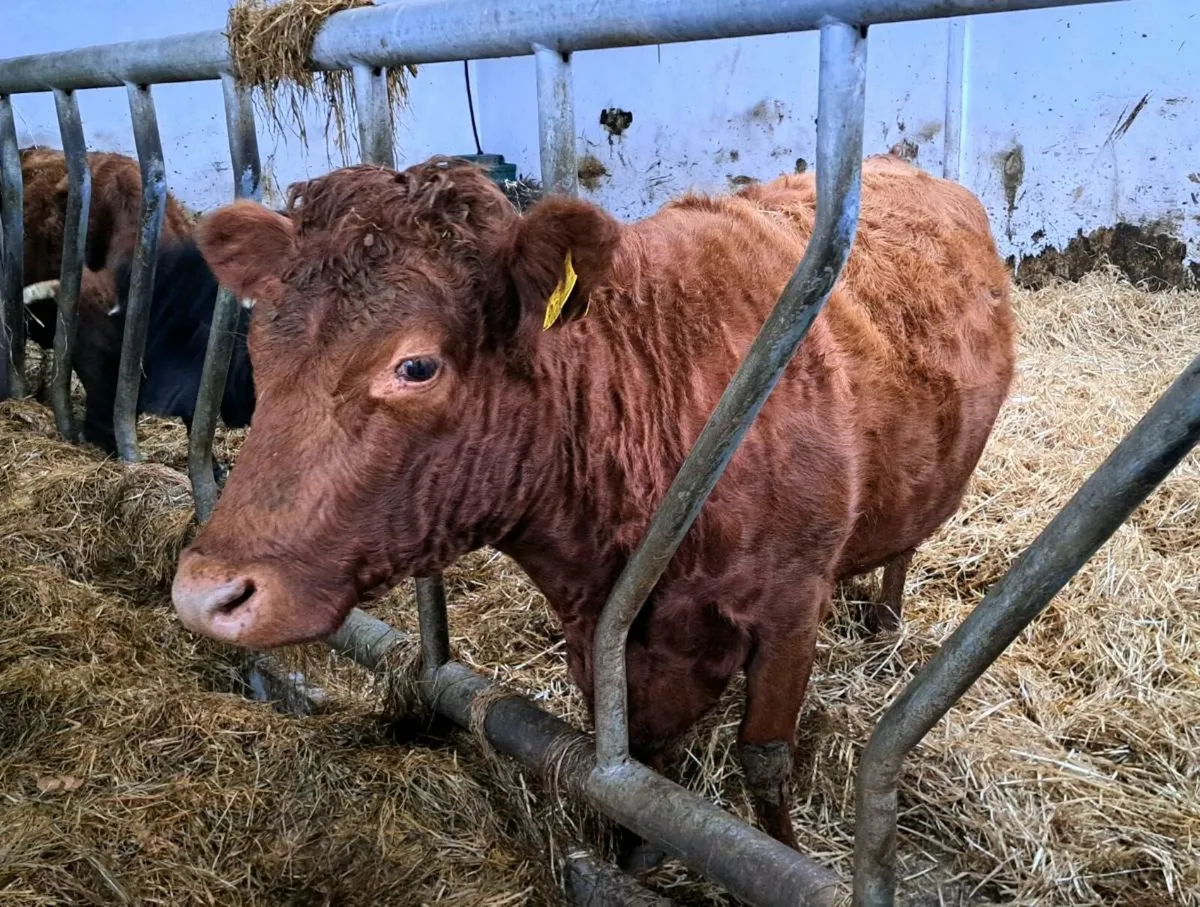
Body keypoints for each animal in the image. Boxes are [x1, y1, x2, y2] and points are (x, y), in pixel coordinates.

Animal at [170, 154, 1016, 855]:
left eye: (415, 365)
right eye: (259, 349)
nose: (206, 593)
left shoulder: (790, 605)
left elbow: (764, 760)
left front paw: (781, 852)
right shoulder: (608, 634)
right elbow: (640, 758)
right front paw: (634, 854)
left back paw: (885, 622)